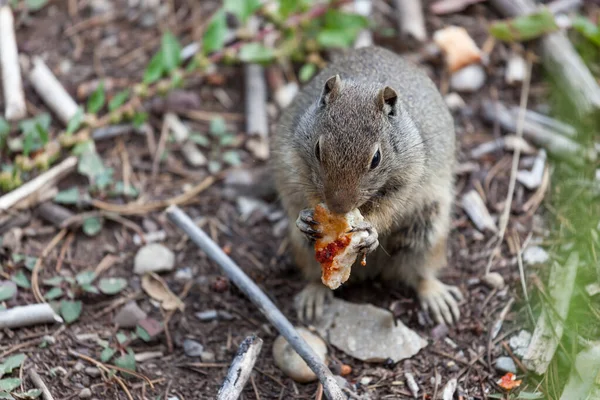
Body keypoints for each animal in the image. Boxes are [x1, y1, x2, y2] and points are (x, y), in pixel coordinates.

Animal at [272, 45, 464, 326]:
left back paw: (437, 297)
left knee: (422, 274)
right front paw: (305, 219)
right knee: (315, 275)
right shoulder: (294, 162)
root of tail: (371, 272)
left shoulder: (409, 181)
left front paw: (370, 232)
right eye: (318, 149)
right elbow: (305, 192)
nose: (338, 208)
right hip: (303, 248)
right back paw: (313, 295)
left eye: (376, 158)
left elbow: (388, 210)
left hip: (428, 232)